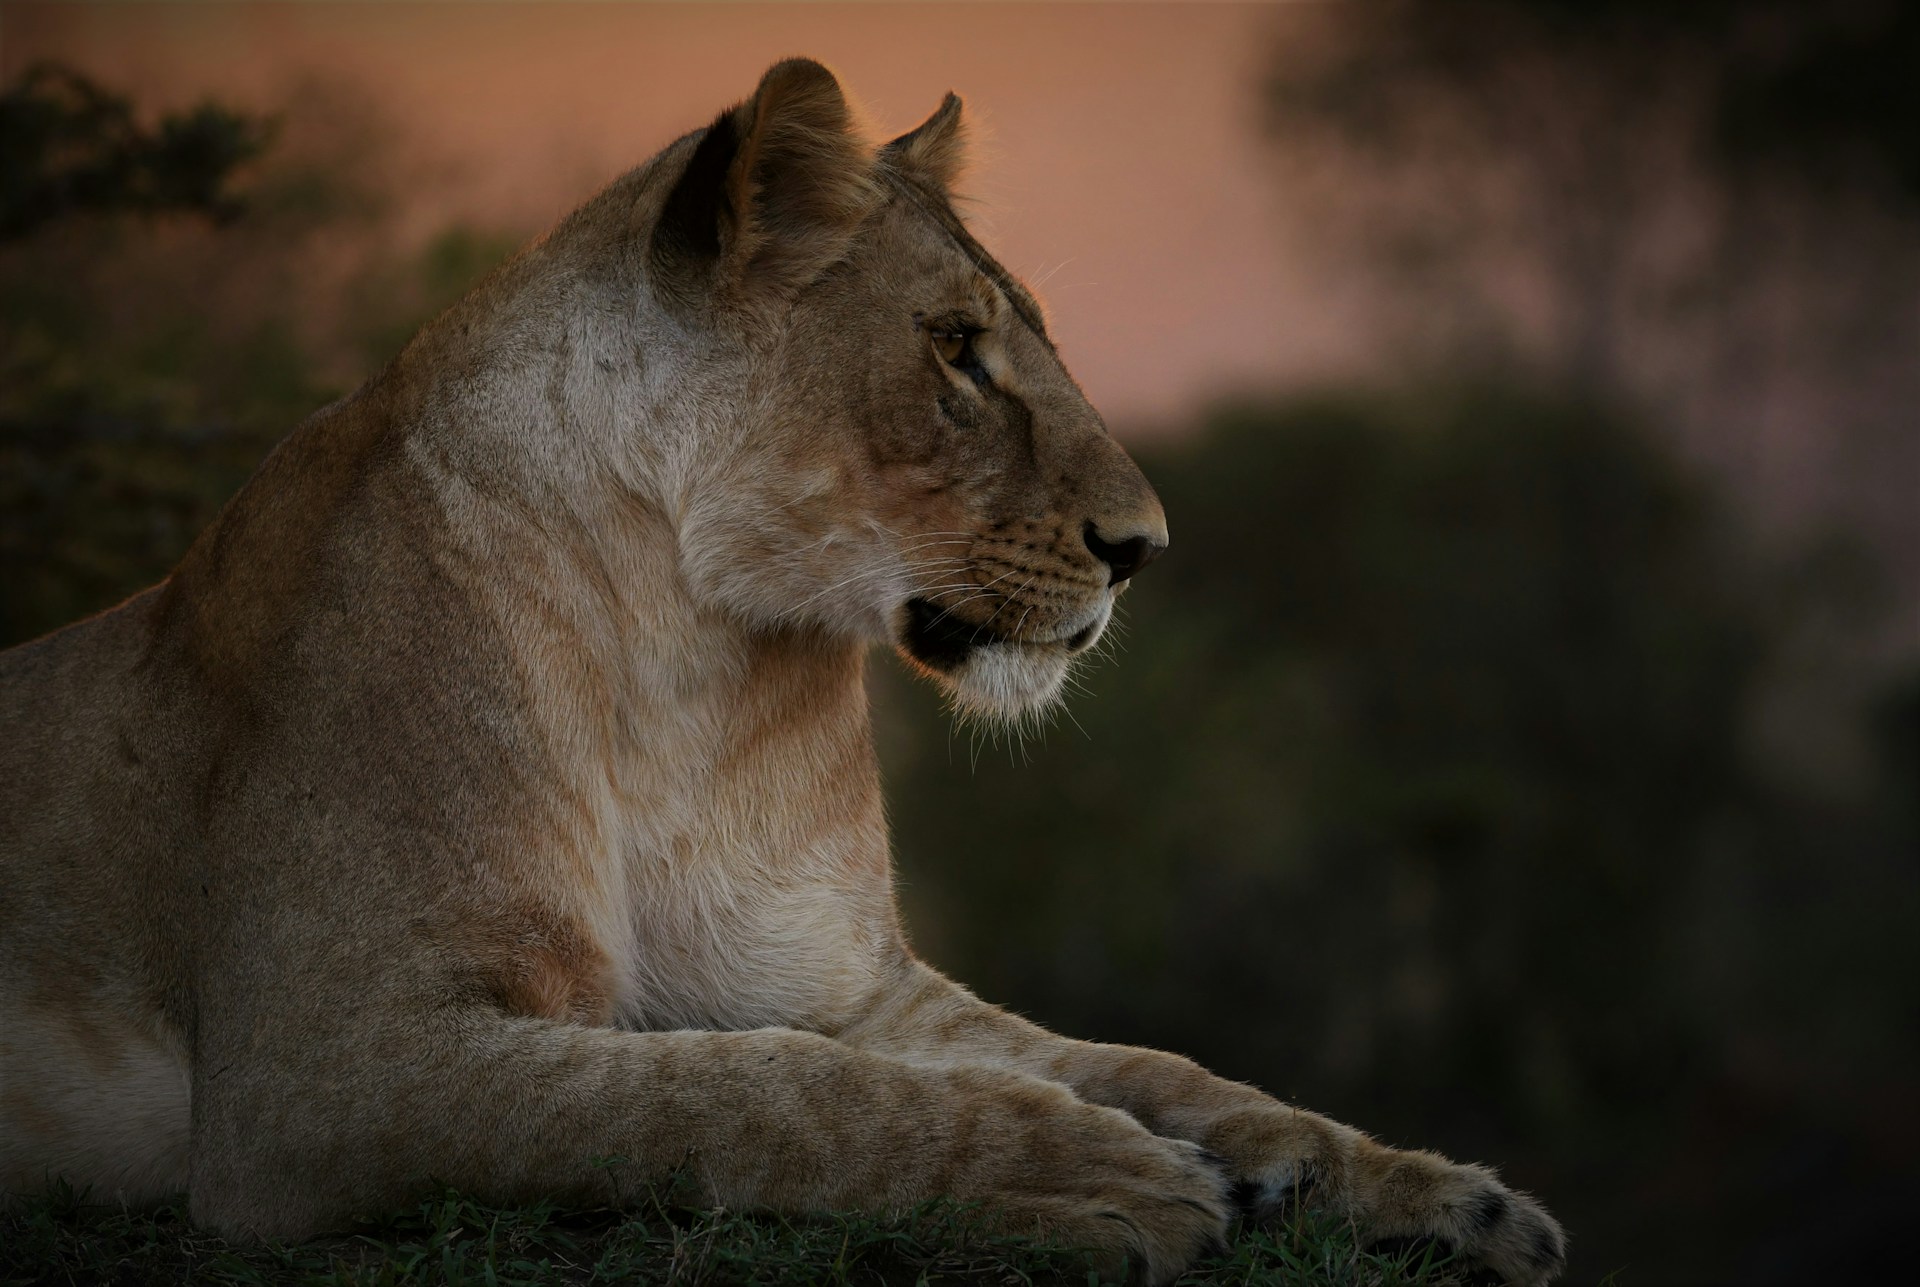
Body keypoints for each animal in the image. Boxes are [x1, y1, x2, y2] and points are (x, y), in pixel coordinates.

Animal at [0, 59, 1565, 1285]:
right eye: (957, 352)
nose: (1145, 549)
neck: (690, 658)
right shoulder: (318, 1072)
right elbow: (750, 1098)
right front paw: (1100, 1176)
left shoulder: (841, 983)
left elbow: (1154, 1069)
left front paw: (1440, 1194)